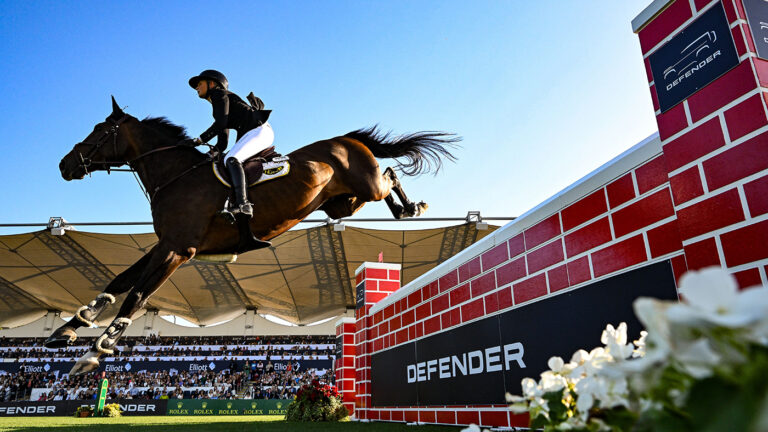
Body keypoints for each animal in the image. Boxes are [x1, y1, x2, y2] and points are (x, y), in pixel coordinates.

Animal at [52, 97, 458, 375]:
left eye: (100, 130)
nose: (64, 165)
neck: (176, 175)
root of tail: (346, 140)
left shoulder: (178, 249)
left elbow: (137, 294)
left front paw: (96, 350)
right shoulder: (164, 245)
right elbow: (120, 280)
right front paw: (70, 327)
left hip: (365, 186)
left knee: (389, 175)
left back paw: (411, 209)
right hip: (341, 204)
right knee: (382, 181)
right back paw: (405, 210)